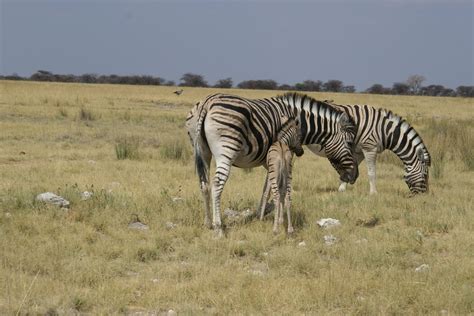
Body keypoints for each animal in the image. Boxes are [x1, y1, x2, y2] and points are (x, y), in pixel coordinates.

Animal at [187, 92, 358, 236]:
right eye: (350, 143)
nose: (355, 176)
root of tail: (207, 103)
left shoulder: (270, 160)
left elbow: (267, 187)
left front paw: (261, 215)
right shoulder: (286, 156)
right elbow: (279, 188)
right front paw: (279, 219)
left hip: (203, 152)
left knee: (204, 185)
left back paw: (208, 223)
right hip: (226, 150)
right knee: (217, 185)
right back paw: (219, 228)